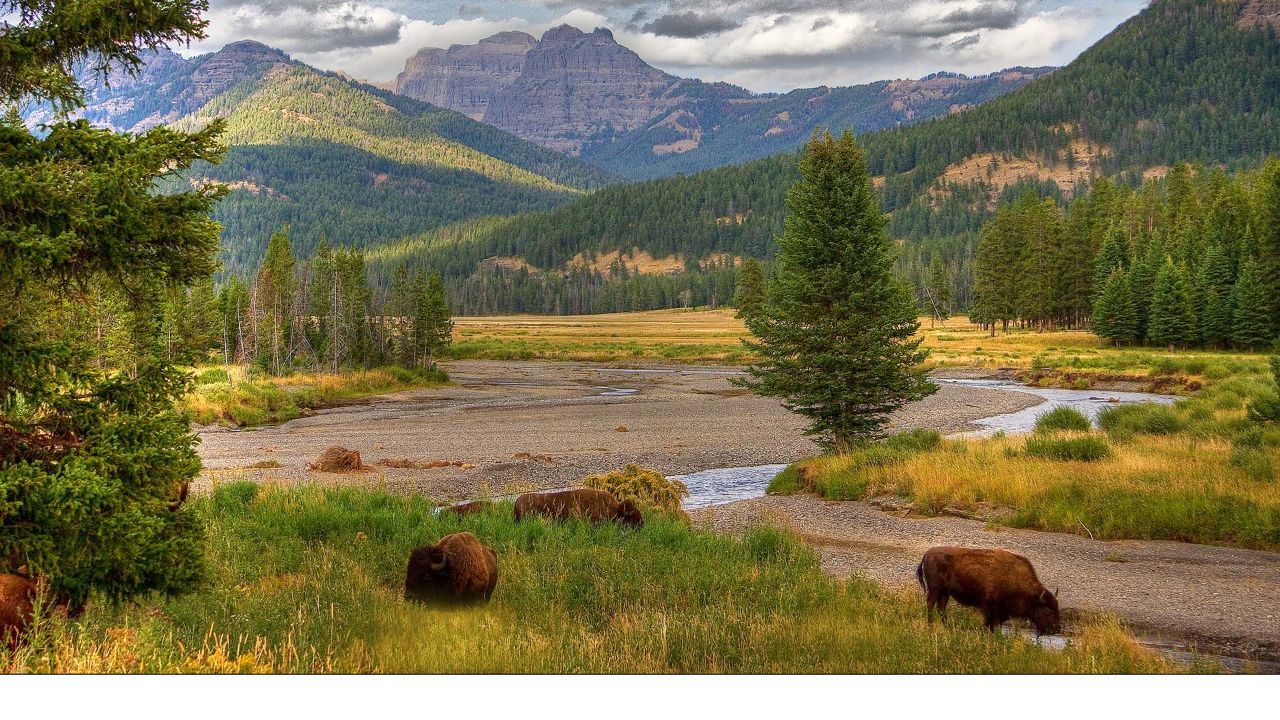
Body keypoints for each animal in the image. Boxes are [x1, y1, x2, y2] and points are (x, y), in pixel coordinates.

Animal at [921, 543, 1059, 632]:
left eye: (1057, 608)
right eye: (1048, 611)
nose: (1057, 629)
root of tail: (927, 553)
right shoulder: (990, 606)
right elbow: (991, 623)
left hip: (945, 592)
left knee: (941, 609)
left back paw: (947, 627)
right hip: (935, 588)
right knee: (930, 604)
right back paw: (930, 625)